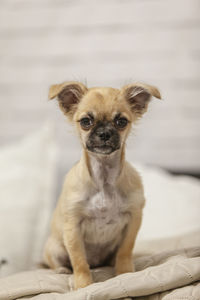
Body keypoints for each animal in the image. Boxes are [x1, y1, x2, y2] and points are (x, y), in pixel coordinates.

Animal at [43, 81, 161, 290]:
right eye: (86, 122)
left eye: (121, 122)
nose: (104, 133)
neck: (104, 180)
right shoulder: (73, 227)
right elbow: (79, 261)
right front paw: (83, 285)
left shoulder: (133, 220)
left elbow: (125, 250)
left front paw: (125, 273)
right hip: (55, 247)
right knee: (58, 263)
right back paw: (62, 270)